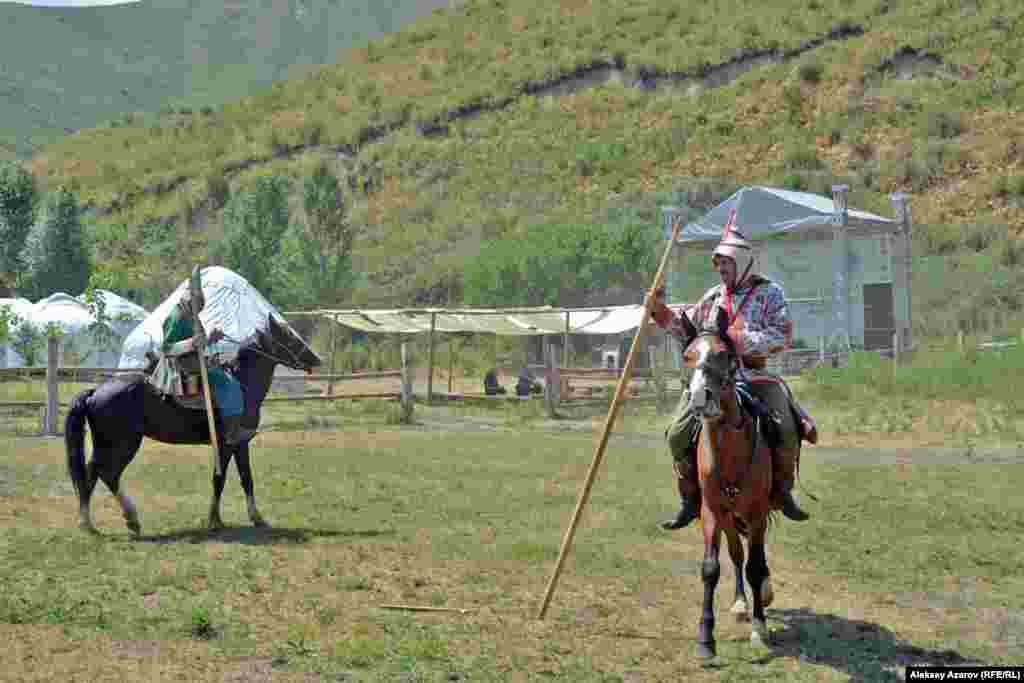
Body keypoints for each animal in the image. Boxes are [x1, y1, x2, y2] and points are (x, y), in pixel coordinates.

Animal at [65, 317, 319, 536]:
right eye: (289, 338)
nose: (316, 359)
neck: (242, 384)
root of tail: (95, 391)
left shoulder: (239, 444)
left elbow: (245, 479)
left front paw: (252, 518)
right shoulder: (228, 445)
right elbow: (222, 480)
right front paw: (217, 520)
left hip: (106, 445)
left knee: (92, 473)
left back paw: (91, 522)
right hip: (124, 444)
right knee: (107, 474)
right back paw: (127, 519)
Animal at [679, 307, 774, 659]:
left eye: (722, 354)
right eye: (688, 356)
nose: (699, 398)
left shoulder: (757, 513)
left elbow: (757, 567)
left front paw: (759, 629)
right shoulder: (712, 511)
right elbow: (711, 568)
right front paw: (705, 638)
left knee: (754, 558)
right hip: (729, 519)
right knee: (735, 554)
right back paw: (740, 603)